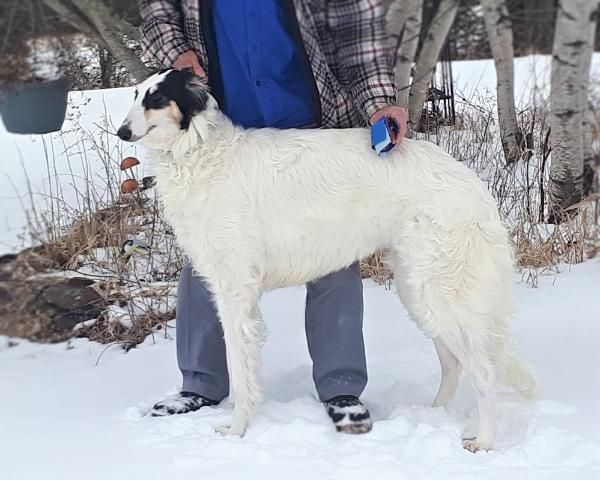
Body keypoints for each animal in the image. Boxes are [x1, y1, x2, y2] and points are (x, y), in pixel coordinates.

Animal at [118, 69, 540, 452]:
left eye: (157, 98)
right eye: (136, 93)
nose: (122, 132)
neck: (203, 152)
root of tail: (474, 187)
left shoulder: (235, 290)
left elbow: (239, 370)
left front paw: (236, 432)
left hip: (441, 291)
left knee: (483, 371)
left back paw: (482, 441)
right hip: (418, 291)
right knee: (454, 364)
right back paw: (431, 418)